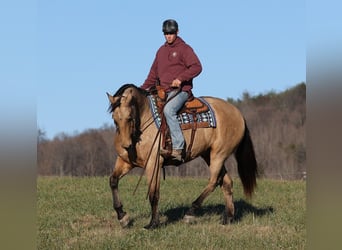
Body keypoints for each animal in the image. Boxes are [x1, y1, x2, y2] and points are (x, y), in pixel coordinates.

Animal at [107, 83, 256, 229]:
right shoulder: (125, 161)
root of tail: (238, 113)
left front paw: (153, 223)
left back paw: (190, 213)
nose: (126, 145)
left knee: (214, 181)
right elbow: (113, 181)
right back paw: (228, 218)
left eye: (129, 118)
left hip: (219, 154)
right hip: (209, 155)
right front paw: (122, 217)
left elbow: (153, 193)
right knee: (226, 182)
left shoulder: (153, 163)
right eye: (114, 120)